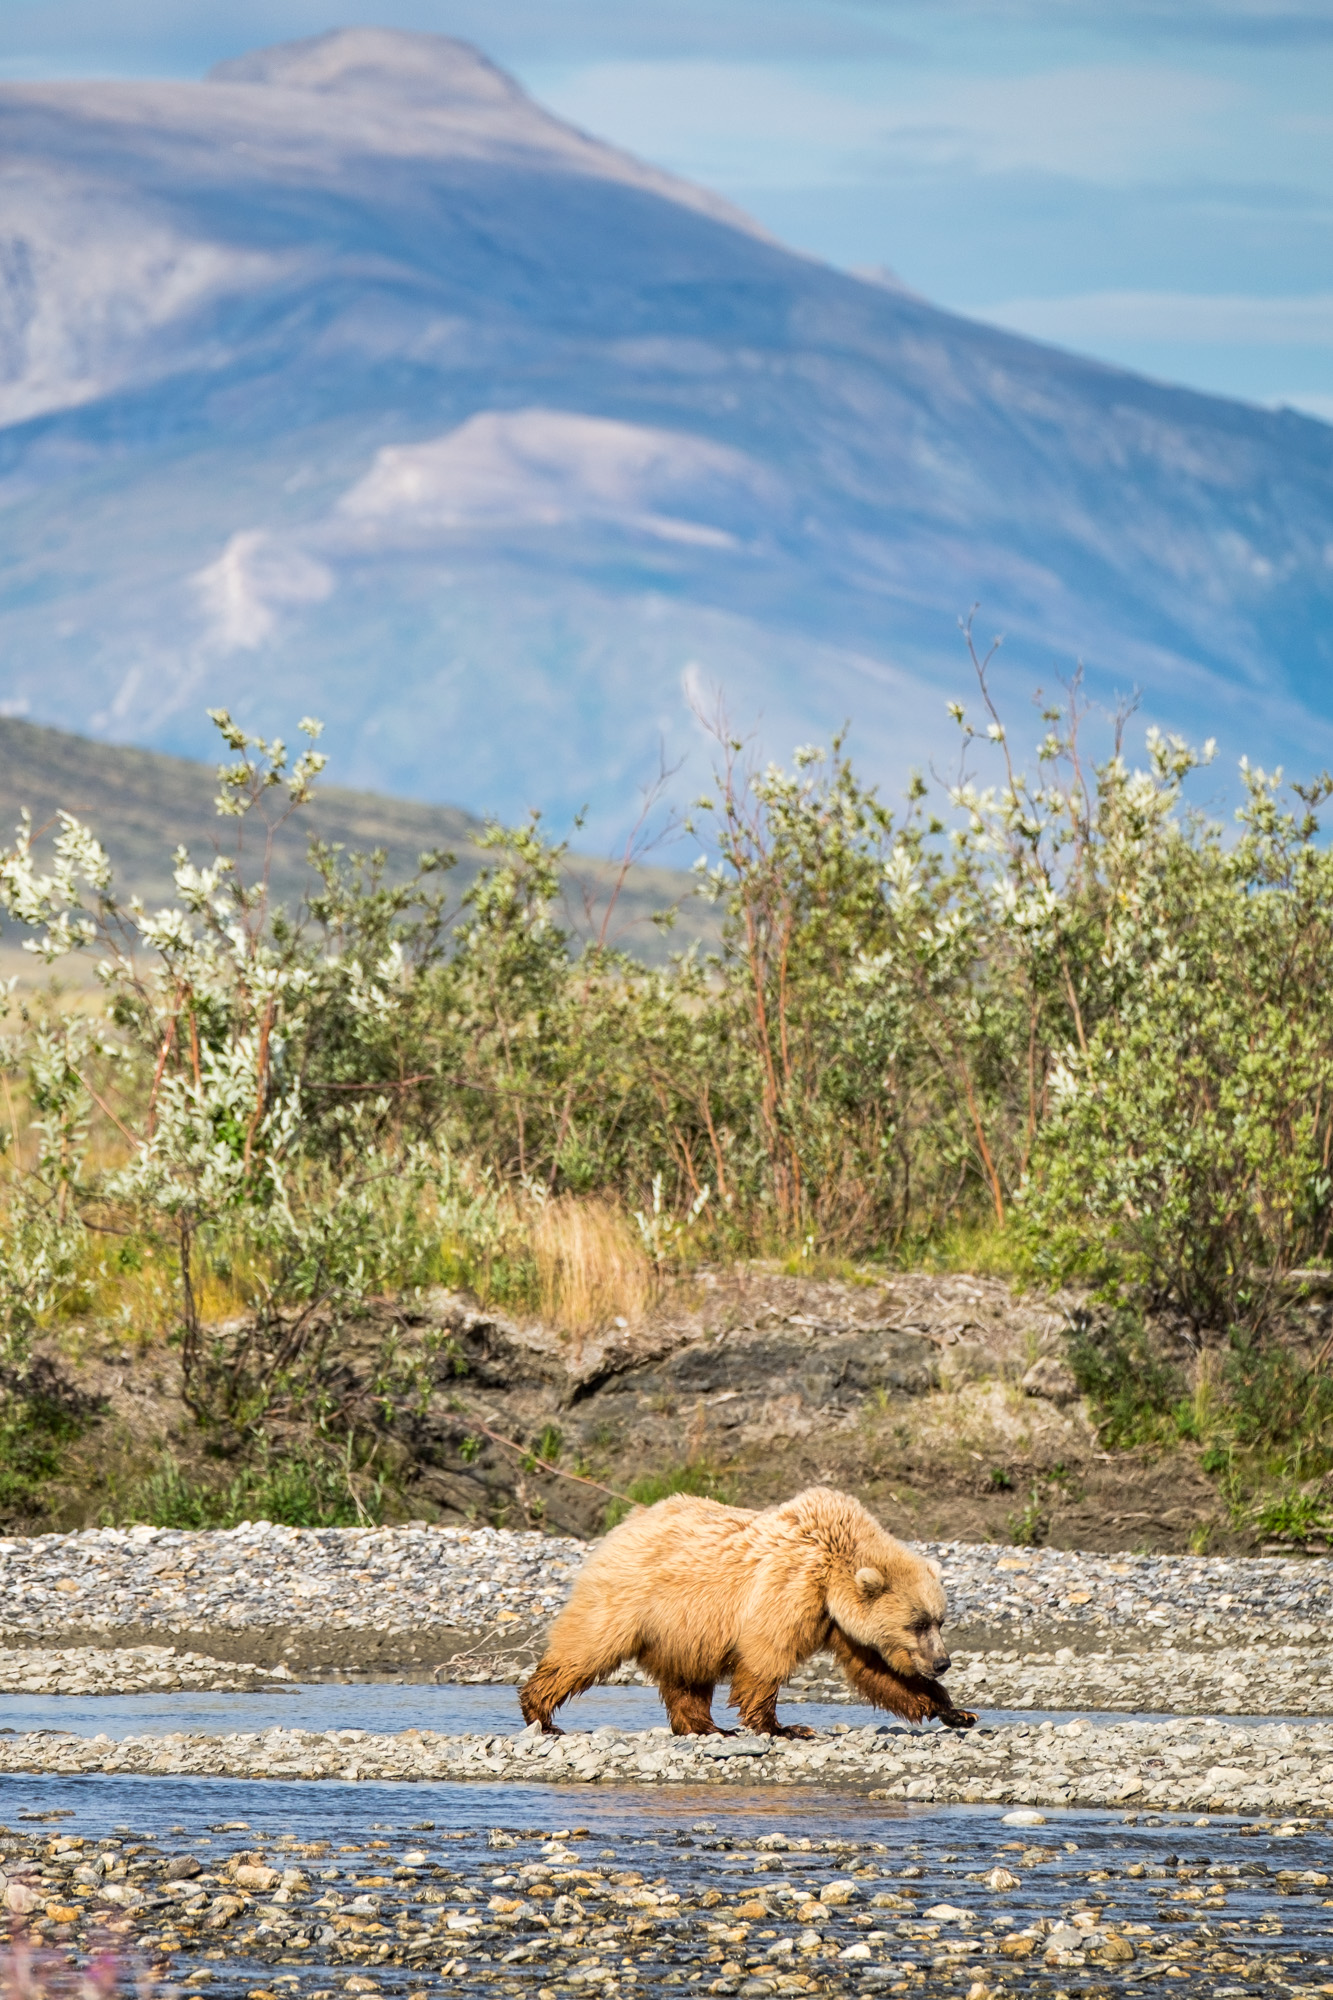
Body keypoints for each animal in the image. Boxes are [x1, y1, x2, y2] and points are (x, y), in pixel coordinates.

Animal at [512, 1488, 972, 1736]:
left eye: (939, 1620)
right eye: (917, 1623)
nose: (942, 1662)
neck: (833, 1571)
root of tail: (629, 1518)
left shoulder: (841, 1623)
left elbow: (878, 1673)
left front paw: (956, 1710)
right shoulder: (791, 1587)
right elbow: (767, 1655)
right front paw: (784, 1726)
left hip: (684, 1626)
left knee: (687, 1676)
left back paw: (704, 1725)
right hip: (631, 1597)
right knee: (587, 1647)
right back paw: (541, 1714)